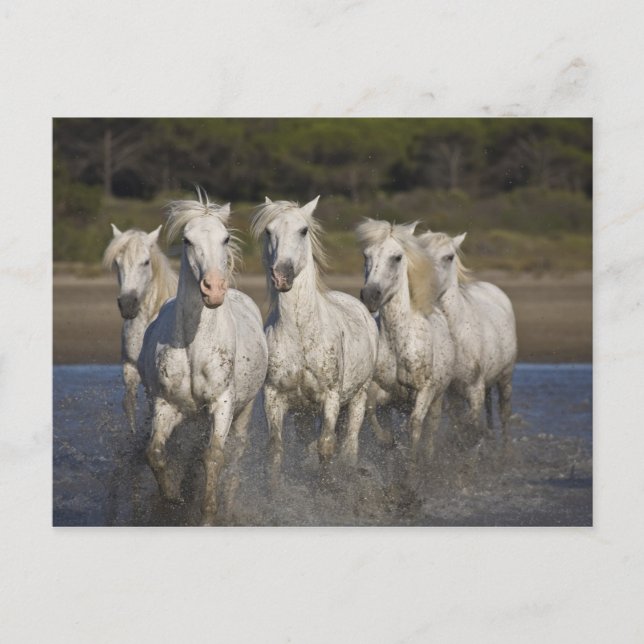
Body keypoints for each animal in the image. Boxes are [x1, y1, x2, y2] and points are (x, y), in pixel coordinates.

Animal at [138, 191, 268, 525]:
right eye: (187, 240)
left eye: (225, 238)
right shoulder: (166, 405)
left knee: (235, 454)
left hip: (244, 410)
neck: (194, 346)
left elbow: (214, 456)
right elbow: (155, 453)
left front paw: (209, 512)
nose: (213, 289)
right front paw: (172, 496)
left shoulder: (222, 404)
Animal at [250, 196, 378, 480]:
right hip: (304, 414)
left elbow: (326, 446)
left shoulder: (330, 397)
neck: (300, 333)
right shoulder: (273, 397)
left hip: (358, 397)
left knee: (350, 444)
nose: (282, 275)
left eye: (303, 230)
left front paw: (325, 486)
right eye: (269, 231)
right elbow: (275, 451)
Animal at [356, 219, 455, 465]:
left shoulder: (425, 391)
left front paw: (412, 464)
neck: (398, 344)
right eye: (366, 255)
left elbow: (414, 426)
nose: (370, 295)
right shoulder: (383, 392)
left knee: (431, 429)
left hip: (437, 400)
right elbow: (371, 410)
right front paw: (386, 441)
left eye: (397, 257)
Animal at [417, 231, 517, 443]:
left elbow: (469, 425)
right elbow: (458, 424)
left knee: (504, 415)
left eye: (449, 257)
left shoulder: (475, 388)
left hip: (505, 377)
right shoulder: (449, 393)